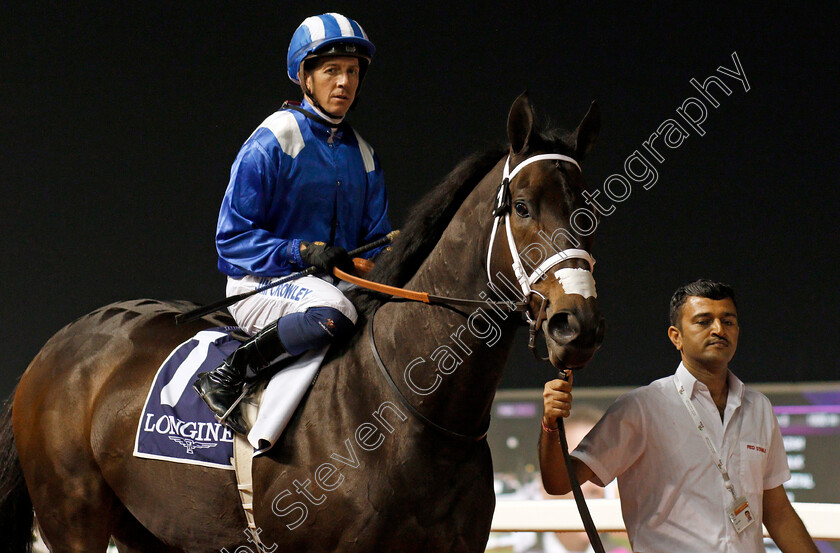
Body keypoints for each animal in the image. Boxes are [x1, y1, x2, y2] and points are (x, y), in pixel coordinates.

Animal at [0, 92, 604, 548]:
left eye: (585, 211)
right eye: (521, 206)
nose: (576, 326)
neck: (412, 411)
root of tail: (55, 347)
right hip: (71, 514)